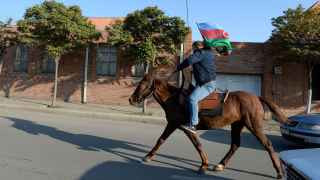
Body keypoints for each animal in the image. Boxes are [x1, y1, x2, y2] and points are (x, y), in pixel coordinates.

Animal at [128, 69, 290, 179]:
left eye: (143, 84)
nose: (131, 99)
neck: (174, 99)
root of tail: (256, 97)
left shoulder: (184, 127)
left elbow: (197, 145)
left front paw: (203, 165)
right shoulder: (173, 125)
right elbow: (161, 140)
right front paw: (148, 156)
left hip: (253, 125)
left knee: (267, 144)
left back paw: (279, 172)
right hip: (237, 125)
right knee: (235, 145)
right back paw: (220, 165)